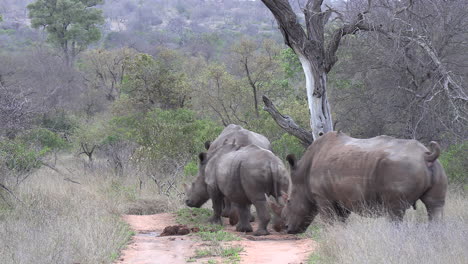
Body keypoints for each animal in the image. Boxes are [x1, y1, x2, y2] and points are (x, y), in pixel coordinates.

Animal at [272, 131, 448, 233]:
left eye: (289, 201)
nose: (286, 228)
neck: (302, 174)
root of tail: (426, 156)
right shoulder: (342, 196)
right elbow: (341, 220)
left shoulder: (322, 196)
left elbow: (329, 220)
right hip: (435, 167)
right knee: (435, 206)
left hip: (400, 168)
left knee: (395, 212)